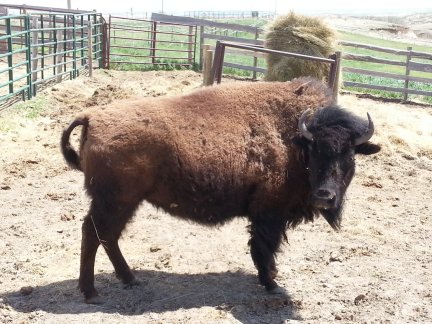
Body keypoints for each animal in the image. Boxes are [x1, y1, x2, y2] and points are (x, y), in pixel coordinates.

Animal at [61, 76, 382, 304]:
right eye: (314, 151)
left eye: (350, 156)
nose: (324, 196)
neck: (294, 140)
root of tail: (92, 117)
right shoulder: (269, 213)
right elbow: (263, 246)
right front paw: (271, 283)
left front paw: (271, 278)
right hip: (115, 201)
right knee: (94, 233)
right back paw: (91, 292)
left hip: (125, 203)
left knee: (107, 236)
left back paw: (129, 279)